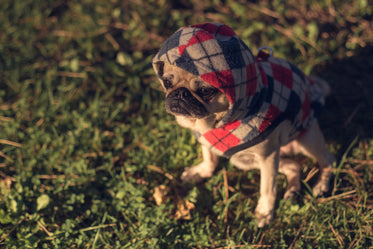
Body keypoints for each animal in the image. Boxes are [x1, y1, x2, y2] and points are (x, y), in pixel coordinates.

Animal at [152, 23, 334, 228]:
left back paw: (321, 185)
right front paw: (201, 172)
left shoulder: (267, 157)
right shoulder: (207, 140)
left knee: (328, 160)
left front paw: (264, 212)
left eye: (205, 91)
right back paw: (292, 191)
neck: (212, 122)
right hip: (244, 160)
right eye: (167, 82)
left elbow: (267, 188)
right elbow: (209, 159)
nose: (180, 93)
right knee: (294, 166)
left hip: (306, 140)